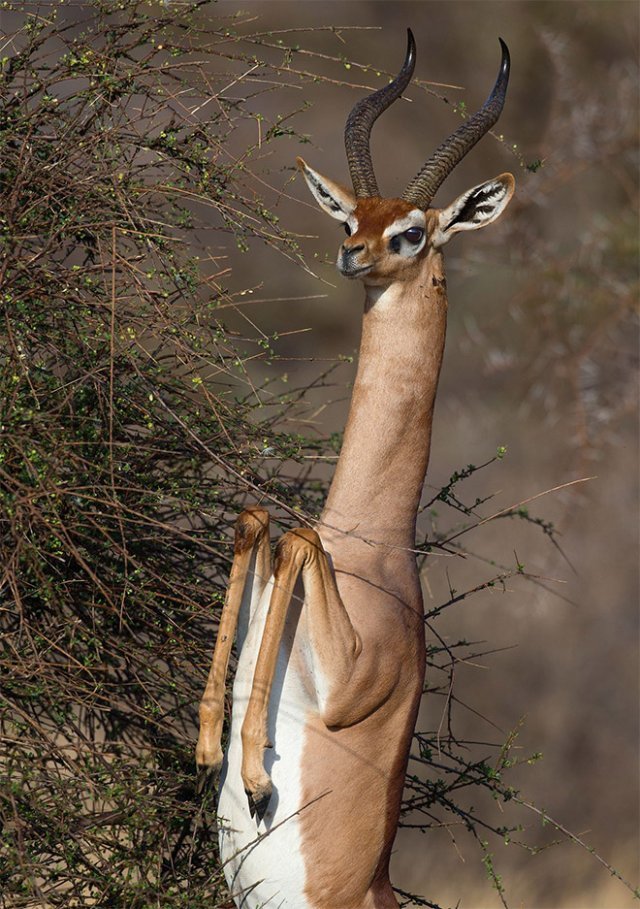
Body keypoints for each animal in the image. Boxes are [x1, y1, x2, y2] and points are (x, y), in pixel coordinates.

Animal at [195, 31, 516, 908]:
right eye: (354, 214)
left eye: (411, 231)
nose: (351, 251)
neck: (371, 547)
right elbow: (260, 518)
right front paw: (209, 748)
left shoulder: (345, 689)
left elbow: (300, 533)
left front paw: (254, 777)